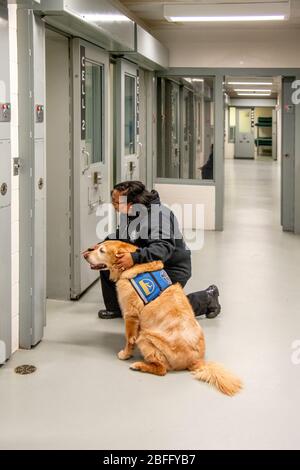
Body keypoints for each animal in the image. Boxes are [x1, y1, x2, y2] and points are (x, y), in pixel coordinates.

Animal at [83, 241, 243, 394]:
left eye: (102, 251)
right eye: (97, 247)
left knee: (162, 369)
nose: (85, 254)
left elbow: (129, 339)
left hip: (145, 337)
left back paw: (139, 365)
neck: (131, 267)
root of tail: (197, 361)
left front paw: (126, 354)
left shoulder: (130, 315)